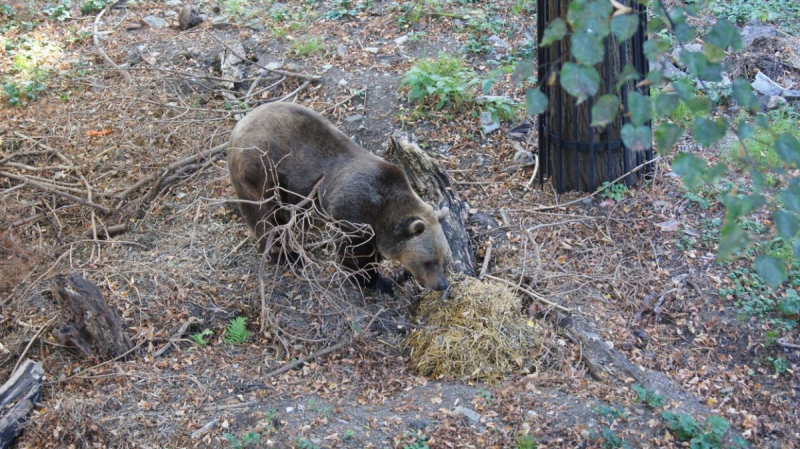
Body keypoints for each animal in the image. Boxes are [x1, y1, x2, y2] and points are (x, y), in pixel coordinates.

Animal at [228, 101, 450, 292]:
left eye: (443, 259)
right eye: (428, 261)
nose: (441, 285)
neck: (384, 210)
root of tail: (237, 128)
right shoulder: (354, 210)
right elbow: (354, 253)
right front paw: (376, 281)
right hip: (260, 170)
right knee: (265, 217)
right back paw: (287, 255)